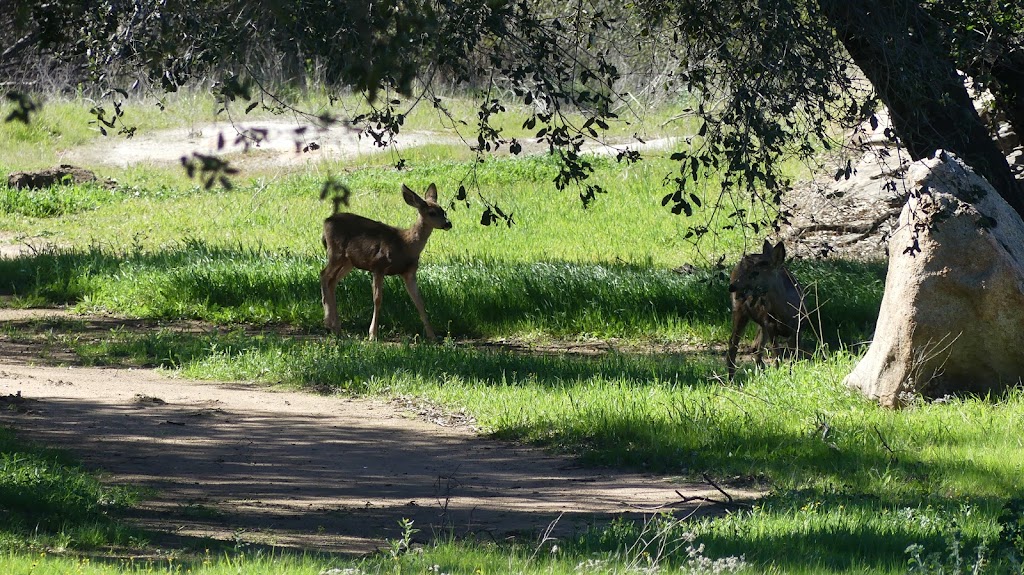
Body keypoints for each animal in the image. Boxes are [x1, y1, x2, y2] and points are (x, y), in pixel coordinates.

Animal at [317, 181, 450, 337]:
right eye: (432, 213)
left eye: (444, 211)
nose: (448, 224)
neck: (406, 244)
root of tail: (326, 222)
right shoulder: (378, 265)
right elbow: (377, 299)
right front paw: (372, 334)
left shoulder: (409, 272)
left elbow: (419, 301)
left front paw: (432, 335)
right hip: (336, 253)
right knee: (324, 275)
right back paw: (329, 323)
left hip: (349, 261)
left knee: (332, 281)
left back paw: (336, 327)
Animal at [729, 237, 806, 376]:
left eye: (756, 273)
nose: (732, 286)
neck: (785, 313)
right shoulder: (770, 325)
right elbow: (778, 358)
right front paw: (780, 375)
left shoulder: (798, 328)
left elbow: (794, 358)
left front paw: (791, 375)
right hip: (740, 311)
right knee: (733, 344)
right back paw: (730, 379)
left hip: (760, 323)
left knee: (755, 347)